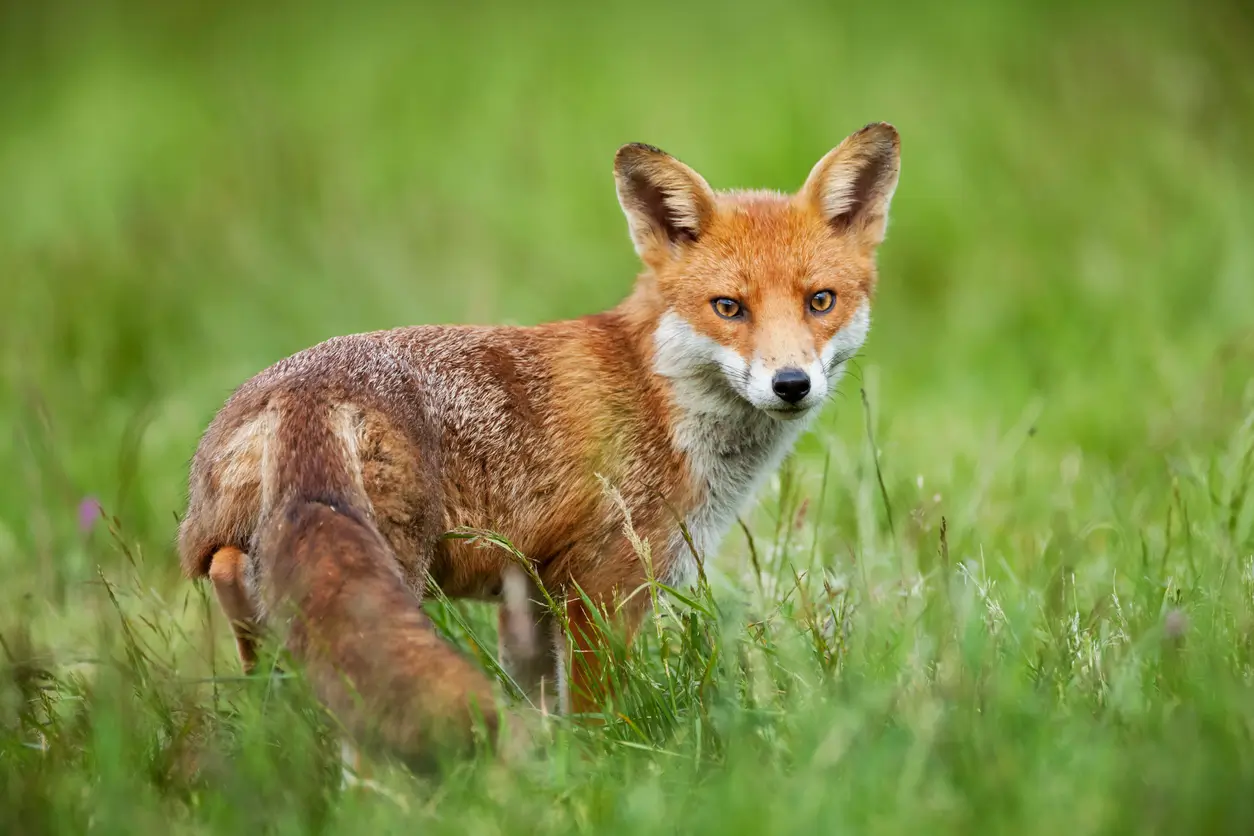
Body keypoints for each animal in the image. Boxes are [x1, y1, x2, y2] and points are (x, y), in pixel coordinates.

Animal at [178, 122, 901, 766]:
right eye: (729, 308)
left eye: (820, 301)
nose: (791, 384)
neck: (659, 395)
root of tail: (301, 392)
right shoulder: (603, 584)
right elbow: (594, 716)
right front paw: (602, 772)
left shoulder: (529, 593)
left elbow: (540, 707)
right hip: (395, 573)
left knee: (247, 600)